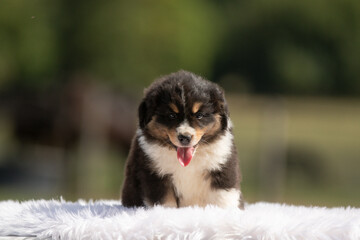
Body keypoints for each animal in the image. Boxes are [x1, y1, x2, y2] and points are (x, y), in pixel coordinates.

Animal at [121, 70, 245, 208]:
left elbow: (223, 199)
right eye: (171, 115)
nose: (185, 137)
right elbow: (166, 202)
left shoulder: (222, 167)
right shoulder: (155, 175)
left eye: (199, 115)